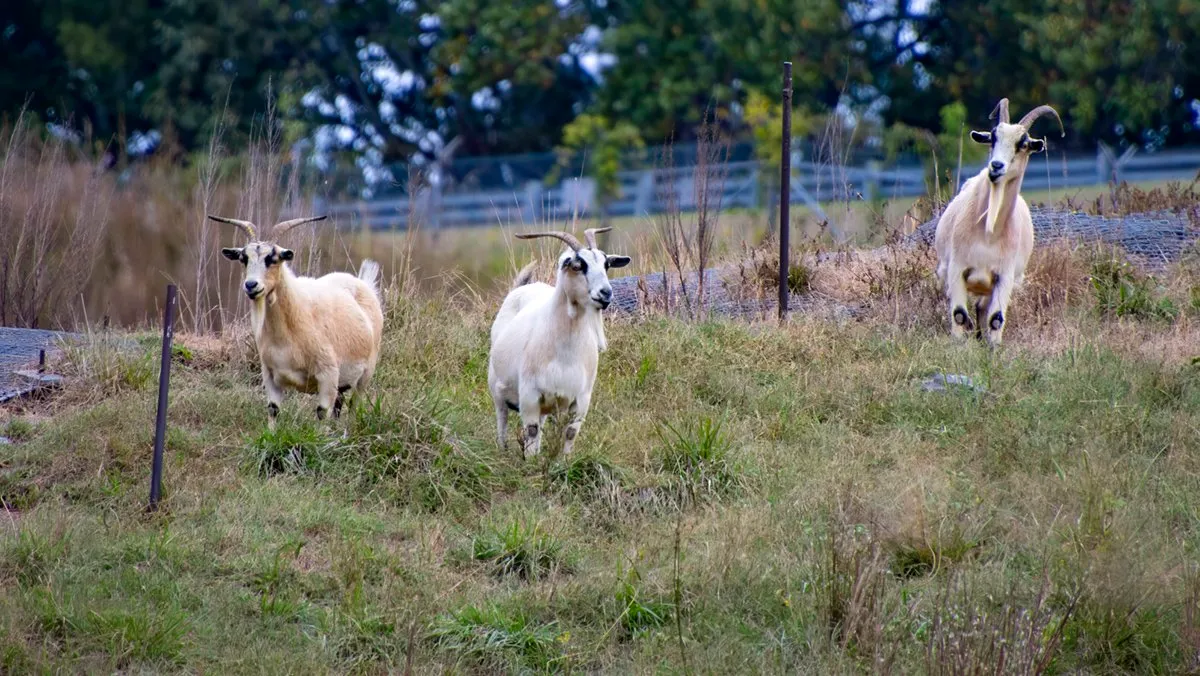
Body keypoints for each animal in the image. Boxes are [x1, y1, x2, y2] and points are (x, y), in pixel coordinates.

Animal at [212, 214, 384, 430]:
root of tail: (364, 284)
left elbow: (321, 412)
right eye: (244, 258)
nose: (251, 285)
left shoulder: (328, 375)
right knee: (340, 405)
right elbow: (273, 409)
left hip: (366, 373)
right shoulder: (270, 375)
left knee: (353, 405)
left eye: (273, 259)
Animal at [487, 227, 631, 459]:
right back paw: (503, 451)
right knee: (502, 420)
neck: (565, 353)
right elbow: (531, 431)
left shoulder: (580, 399)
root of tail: (522, 288)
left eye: (606, 264)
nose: (606, 293)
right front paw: (532, 464)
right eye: (577, 265)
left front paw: (561, 463)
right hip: (497, 387)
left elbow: (570, 433)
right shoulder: (529, 395)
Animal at [934, 98, 1064, 345]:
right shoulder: (957, 268)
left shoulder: (1005, 276)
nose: (996, 166)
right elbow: (958, 315)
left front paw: (992, 346)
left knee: (983, 309)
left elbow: (996, 319)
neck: (989, 234)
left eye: (1023, 143)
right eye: (993, 137)